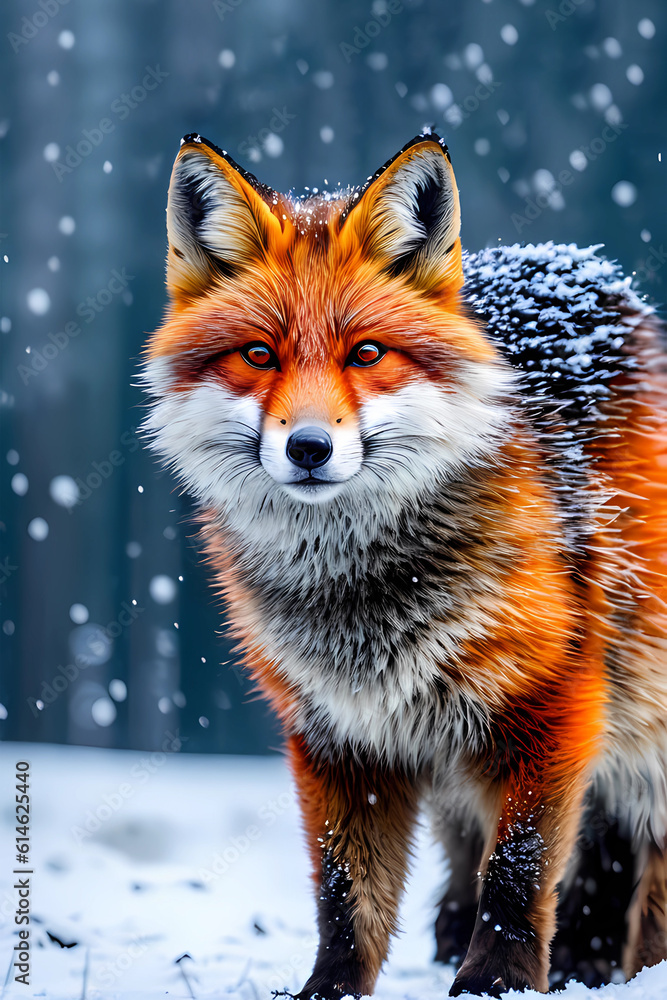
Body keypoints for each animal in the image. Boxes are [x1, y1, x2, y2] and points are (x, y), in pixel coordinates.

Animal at [142, 131, 667, 998]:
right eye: (258, 354)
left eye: (365, 353)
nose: (308, 448)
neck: (364, 603)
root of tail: (583, 270)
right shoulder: (337, 735)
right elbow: (343, 891)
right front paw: (330, 988)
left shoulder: (552, 702)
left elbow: (519, 870)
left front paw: (497, 980)